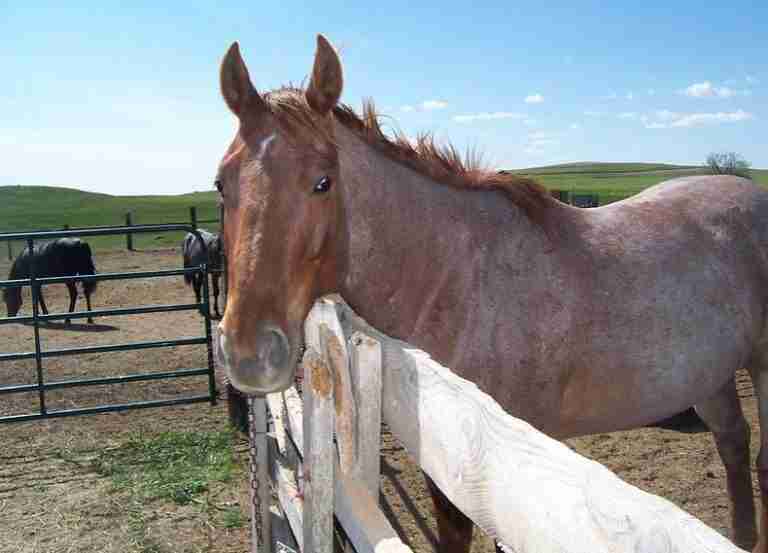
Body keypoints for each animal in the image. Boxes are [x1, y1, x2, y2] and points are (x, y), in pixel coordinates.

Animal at [214, 36, 768, 553]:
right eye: (221, 183)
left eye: (323, 182)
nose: (249, 353)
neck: (455, 276)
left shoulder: (491, 464)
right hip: (709, 376)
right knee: (733, 443)